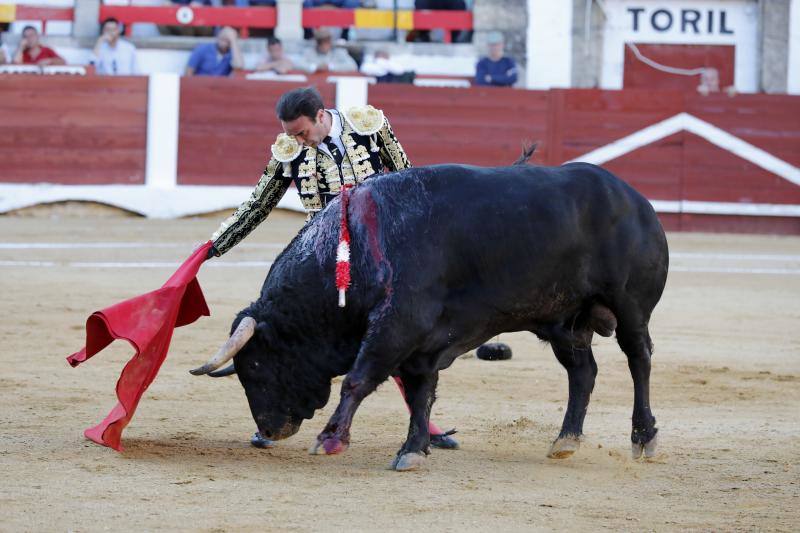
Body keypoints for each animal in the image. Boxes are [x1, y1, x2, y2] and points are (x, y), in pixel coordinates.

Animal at [192, 160, 668, 468]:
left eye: (255, 366)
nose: (270, 430)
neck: (356, 248)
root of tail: (636, 199)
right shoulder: (421, 343)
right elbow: (421, 392)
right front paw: (413, 448)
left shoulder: (398, 326)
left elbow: (358, 379)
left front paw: (330, 439)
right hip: (565, 321)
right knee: (582, 372)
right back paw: (565, 440)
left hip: (630, 308)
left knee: (639, 359)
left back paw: (644, 437)